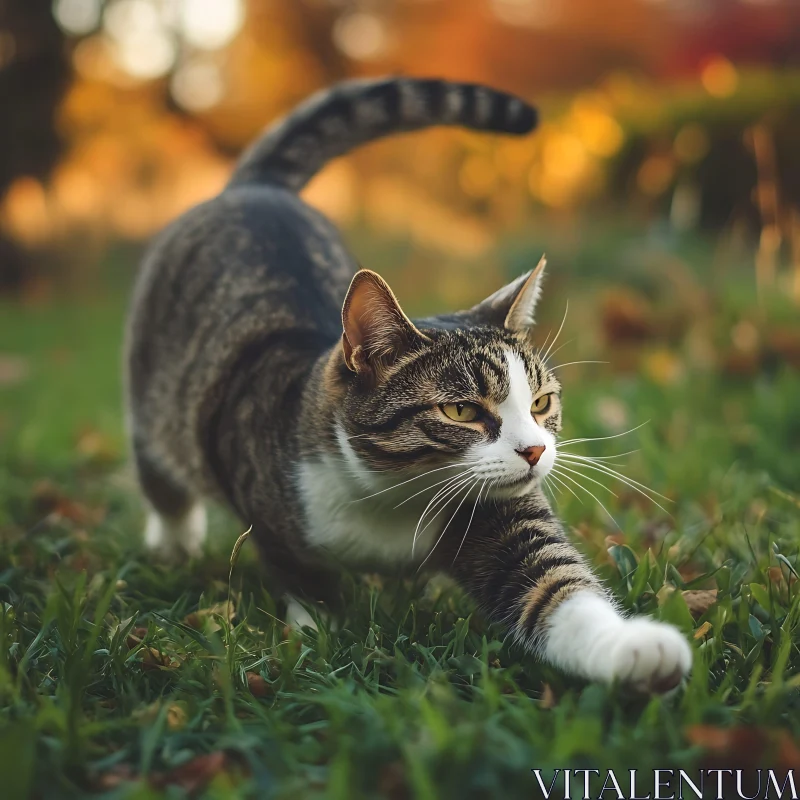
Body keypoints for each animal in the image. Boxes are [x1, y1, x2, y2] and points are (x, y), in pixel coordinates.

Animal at [126, 79, 692, 692]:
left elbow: (553, 585)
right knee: (161, 475)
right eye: (462, 412)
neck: (393, 501)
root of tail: (258, 188)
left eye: (541, 403)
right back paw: (174, 543)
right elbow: (300, 575)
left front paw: (638, 647)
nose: (536, 451)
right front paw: (317, 633)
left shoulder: (496, 515)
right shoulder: (259, 491)